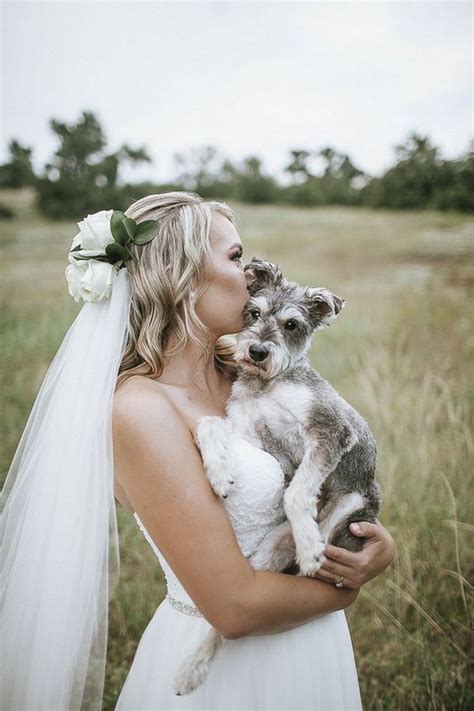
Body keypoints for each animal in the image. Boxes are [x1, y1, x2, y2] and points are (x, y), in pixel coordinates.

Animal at [174, 258, 382, 696]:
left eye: (292, 324)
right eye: (253, 313)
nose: (256, 351)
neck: (266, 385)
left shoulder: (328, 432)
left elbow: (297, 491)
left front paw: (307, 539)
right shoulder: (258, 440)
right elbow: (207, 423)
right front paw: (219, 472)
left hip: (349, 511)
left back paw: (310, 544)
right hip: (269, 551)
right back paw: (191, 670)